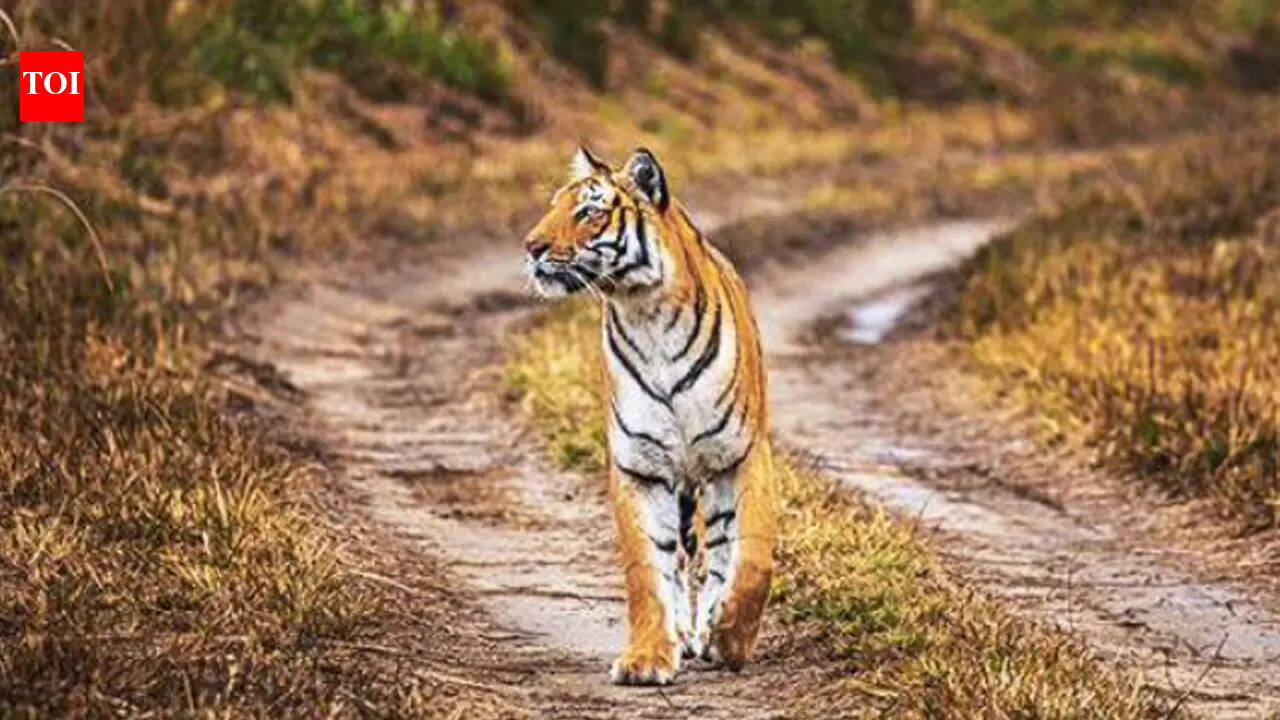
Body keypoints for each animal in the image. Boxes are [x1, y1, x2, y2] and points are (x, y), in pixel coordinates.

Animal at [522, 146, 777, 686]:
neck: (646, 313)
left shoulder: (742, 454)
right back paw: (684, 632)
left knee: (719, 549)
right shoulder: (640, 466)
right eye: (554, 206)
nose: (531, 247)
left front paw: (729, 639)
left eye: (588, 211)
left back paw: (708, 628)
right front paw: (647, 658)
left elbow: (752, 560)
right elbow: (647, 570)